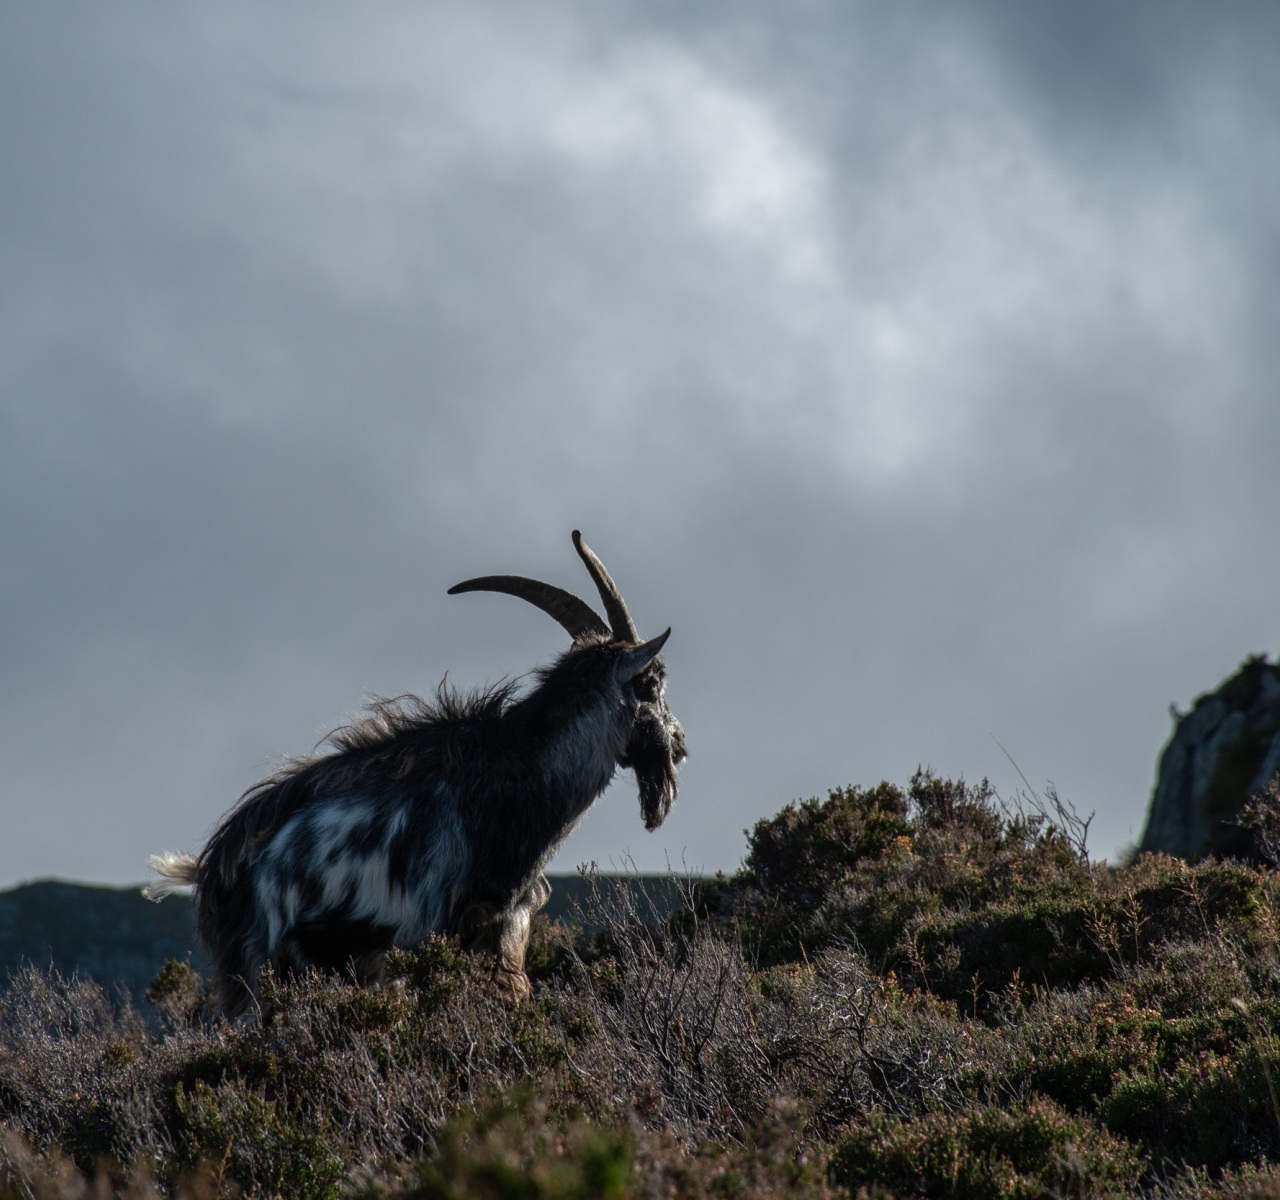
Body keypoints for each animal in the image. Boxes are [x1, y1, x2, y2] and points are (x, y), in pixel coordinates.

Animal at [145, 531, 685, 1018]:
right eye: (651, 683)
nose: (679, 745)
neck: (517, 774)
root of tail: (214, 869)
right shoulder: (438, 929)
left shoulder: (503, 929)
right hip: (266, 967)